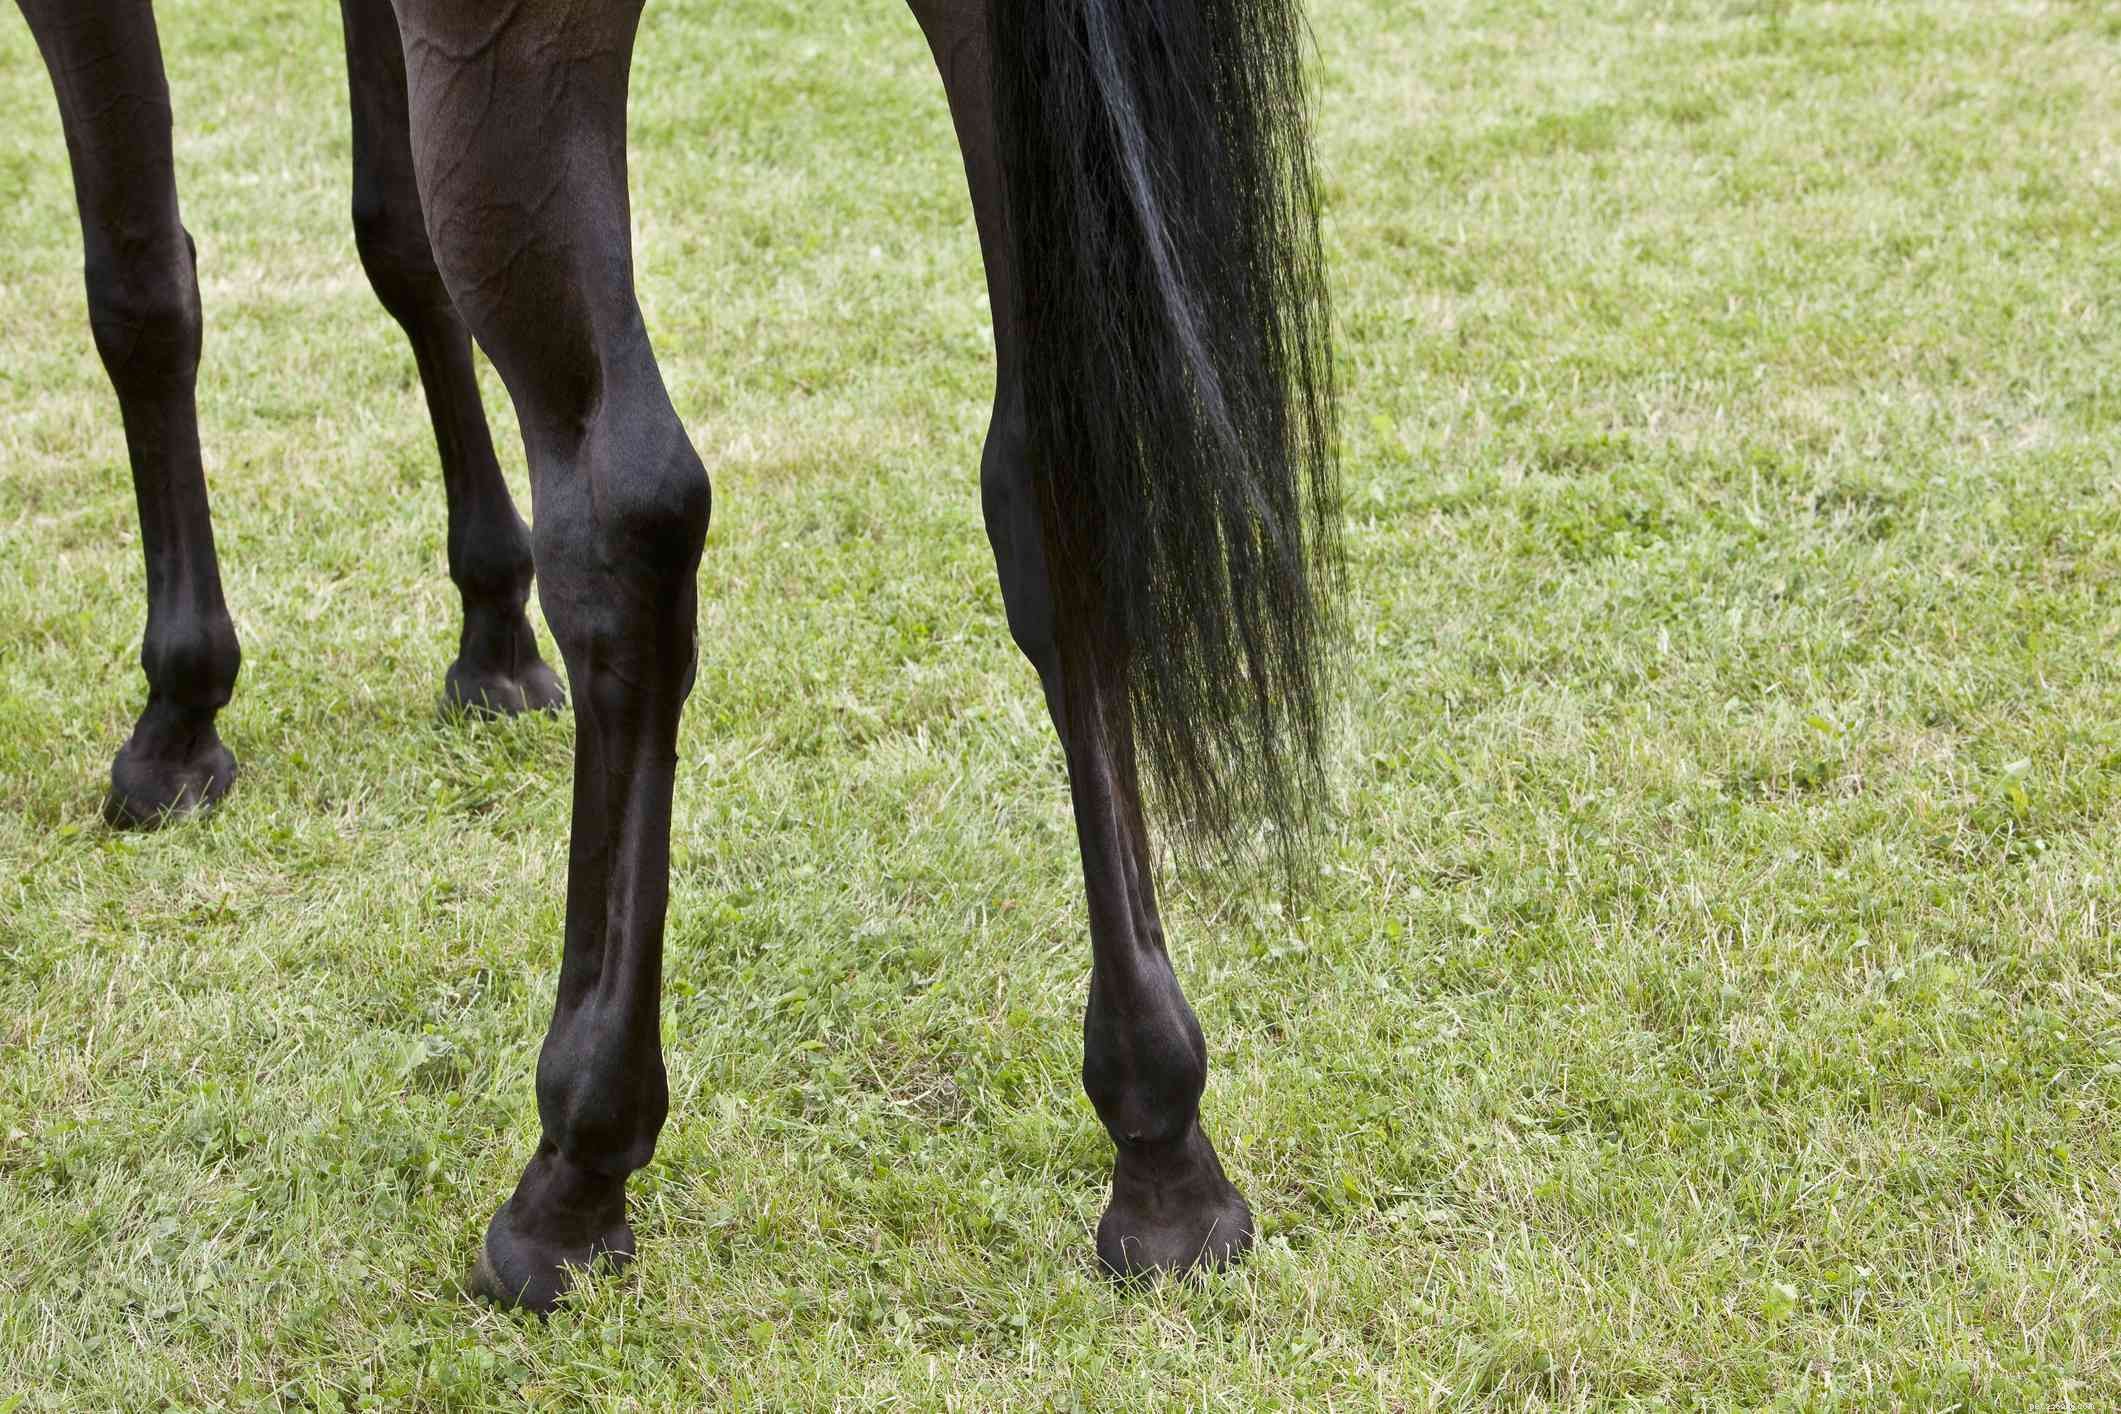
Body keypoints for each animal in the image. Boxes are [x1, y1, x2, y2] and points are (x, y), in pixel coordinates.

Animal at [16, 0, 1339, 1313]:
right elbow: (395, 247)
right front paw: (491, 636)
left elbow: (142, 291)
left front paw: (180, 713)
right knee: (1050, 479)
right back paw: (1166, 1163)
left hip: (515, 57)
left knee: (628, 520)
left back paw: (573, 1168)